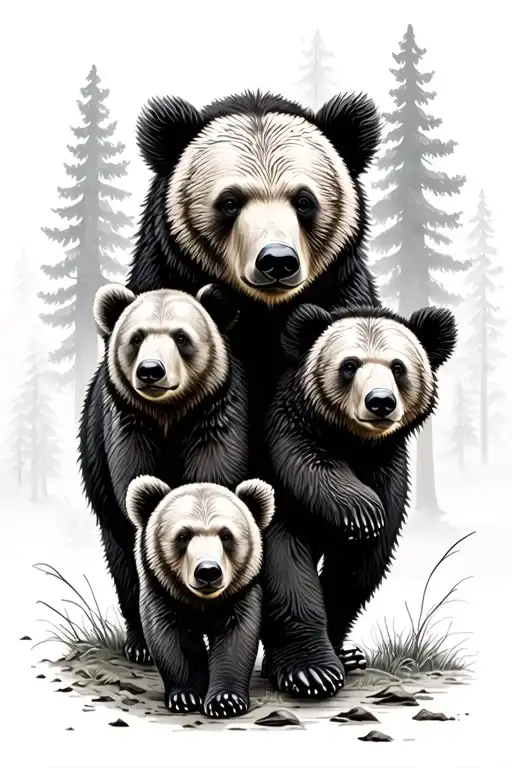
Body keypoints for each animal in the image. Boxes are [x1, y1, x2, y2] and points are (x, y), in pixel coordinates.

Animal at [79, 283, 247, 664]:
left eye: (181, 337)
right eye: (137, 337)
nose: (151, 371)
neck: (169, 414)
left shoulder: (213, 418)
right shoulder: (126, 425)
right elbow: (133, 495)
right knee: (121, 558)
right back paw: (139, 642)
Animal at [125, 476, 275, 718]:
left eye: (226, 536)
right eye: (183, 536)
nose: (208, 571)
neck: (203, 601)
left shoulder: (241, 591)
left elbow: (235, 638)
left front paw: (225, 700)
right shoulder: (161, 588)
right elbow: (174, 639)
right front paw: (186, 696)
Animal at [261, 303, 457, 697]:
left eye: (398, 367)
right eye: (349, 365)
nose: (380, 402)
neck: (355, 444)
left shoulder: (388, 469)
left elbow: (359, 567)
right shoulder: (285, 452)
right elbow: (285, 563)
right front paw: (310, 670)